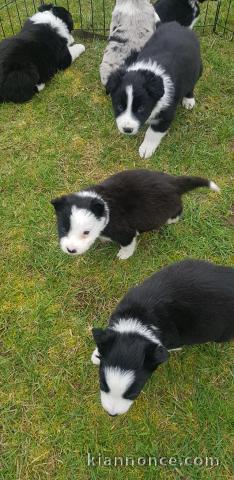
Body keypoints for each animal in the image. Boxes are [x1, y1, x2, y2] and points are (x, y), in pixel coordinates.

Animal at [51, 169, 219, 258]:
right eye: (64, 228)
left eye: (86, 232)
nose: (70, 250)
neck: (102, 203)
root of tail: (174, 183)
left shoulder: (125, 233)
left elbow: (128, 244)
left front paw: (124, 255)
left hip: (167, 208)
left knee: (178, 209)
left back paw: (172, 220)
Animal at [107, 20, 202, 158]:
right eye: (119, 106)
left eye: (141, 108)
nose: (127, 130)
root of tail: (180, 26)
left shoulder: (166, 114)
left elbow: (153, 132)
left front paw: (146, 149)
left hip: (198, 68)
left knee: (192, 84)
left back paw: (189, 100)